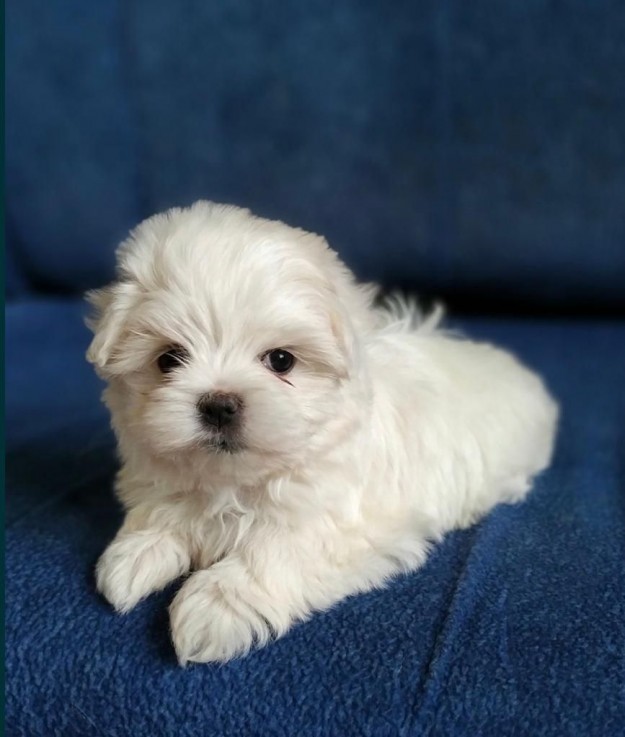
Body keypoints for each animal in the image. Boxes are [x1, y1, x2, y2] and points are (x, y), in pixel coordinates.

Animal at [86, 200, 556, 660]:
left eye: (281, 361)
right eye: (168, 359)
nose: (219, 404)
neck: (234, 481)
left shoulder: (344, 520)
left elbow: (274, 551)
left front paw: (213, 606)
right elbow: (162, 511)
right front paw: (137, 553)